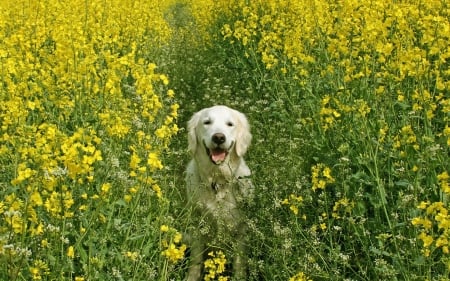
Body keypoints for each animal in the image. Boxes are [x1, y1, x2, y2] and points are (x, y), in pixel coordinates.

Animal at [184, 105, 253, 280]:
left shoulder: (241, 229)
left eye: (230, 124)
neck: (217, 183)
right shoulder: (197, 226)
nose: (219, 138)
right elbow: (195, 261)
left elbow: (239, 262)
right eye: (207, 122)